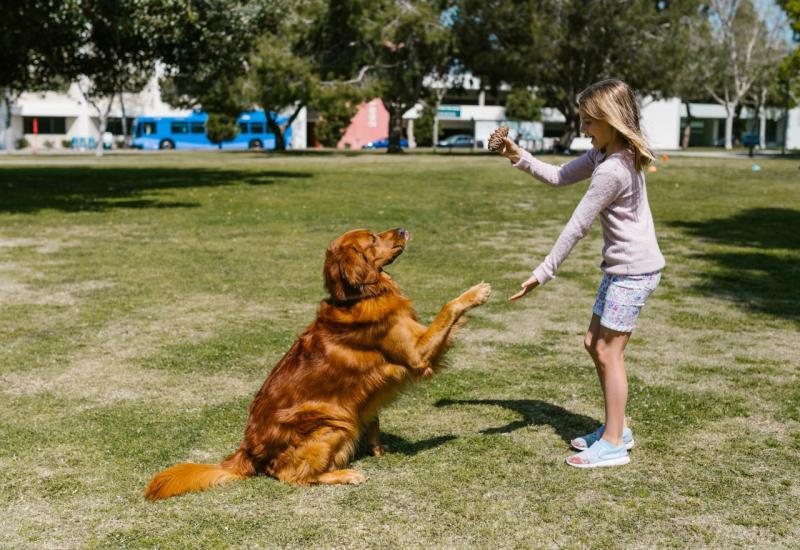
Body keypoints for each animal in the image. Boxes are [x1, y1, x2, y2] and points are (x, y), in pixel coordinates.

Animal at [146, 229, 490, 500]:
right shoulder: (417, 353)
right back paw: (345, 474)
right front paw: (475, 293)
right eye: (373, 238)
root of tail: (248, 451)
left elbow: (374, 420)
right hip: (333, 421)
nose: (404, 229)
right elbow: (448, 308)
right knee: (291, 476)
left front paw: (379, 449)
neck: (358, 297)